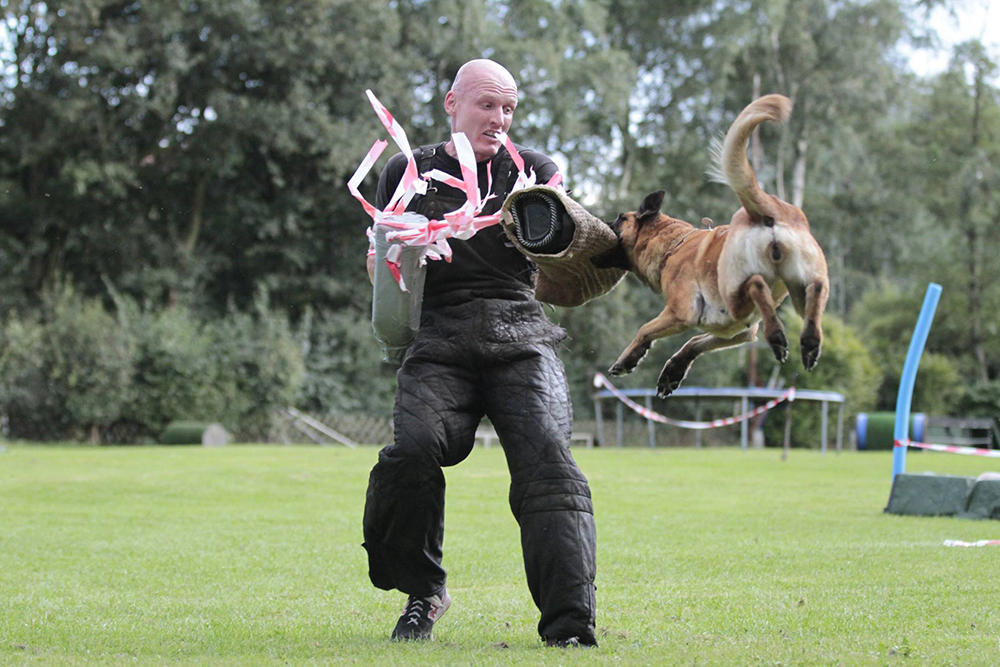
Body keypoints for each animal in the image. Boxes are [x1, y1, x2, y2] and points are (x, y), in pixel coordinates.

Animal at [592, 94, 828, 396]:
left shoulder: (681, 312)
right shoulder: (736, 330)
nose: (600, 223)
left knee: (756, 284)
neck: (673, 246)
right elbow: (694, 343)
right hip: (798, 289)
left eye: (620, 218)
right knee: (816, 289)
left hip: (735, 290)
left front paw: (628, 359)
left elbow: (645, 329)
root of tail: (766, 210)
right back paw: (808, 341)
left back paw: (776, 335)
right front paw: (673, 370)